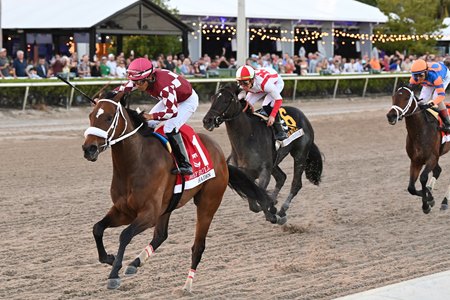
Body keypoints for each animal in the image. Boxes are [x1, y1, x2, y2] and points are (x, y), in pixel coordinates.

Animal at [81, 97, 278, 292]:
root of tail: (222, 157)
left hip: (208, 204)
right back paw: (136, 263)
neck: (135, 163)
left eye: (108, 118)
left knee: (198, 246)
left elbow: (125, 235)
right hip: (168, 206)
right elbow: (97, 228)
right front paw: (109, 258)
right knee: (161, 235)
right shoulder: (124, 211)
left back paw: (187, 285)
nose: (89, 149)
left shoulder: (148, 214)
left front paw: (114, 274)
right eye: (91, 116)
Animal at [202, 83, 322, 224]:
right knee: (281, 177)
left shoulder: (264, 172)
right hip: (274, 162)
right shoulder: (246, 176)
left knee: (296, 184)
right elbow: (254, 203)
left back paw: (282, 210)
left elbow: (260, 198)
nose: (207, 121)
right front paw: (271, 206)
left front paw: (273, 213)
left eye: (226, 100)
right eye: (212, 98)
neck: (248, 138)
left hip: (300, 154)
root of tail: (303, 116)